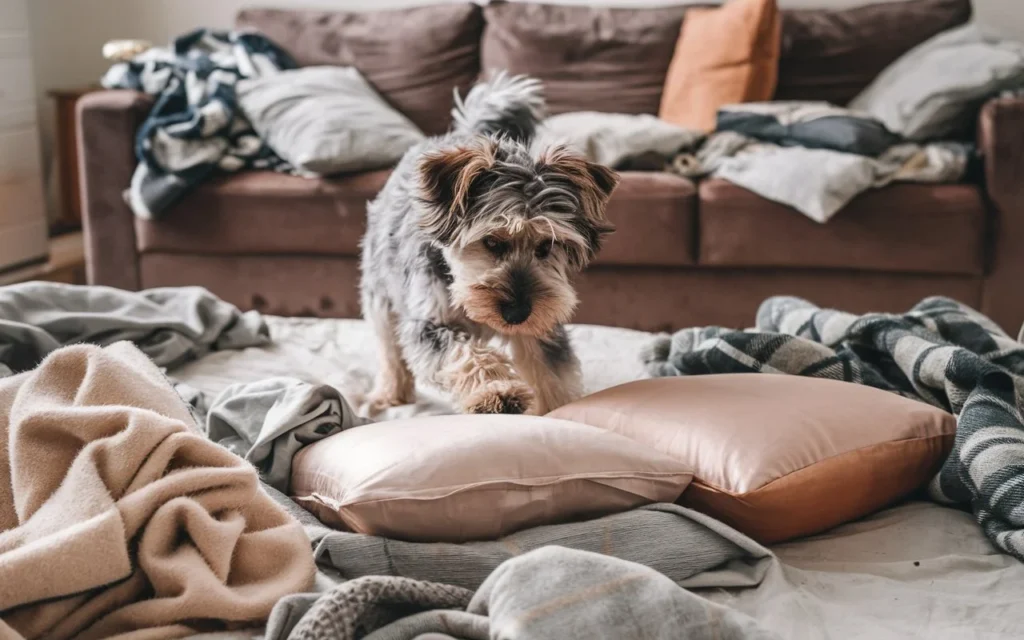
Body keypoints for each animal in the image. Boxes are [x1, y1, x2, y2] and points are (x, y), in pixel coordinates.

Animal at [356, 73, 618, 413]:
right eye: (491, 242)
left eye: (546, 246)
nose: (518, 313)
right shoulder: (429, 325)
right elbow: (465, 353)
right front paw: (496, 392)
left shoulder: (541, 324)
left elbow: (550, 371)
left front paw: (559, 410)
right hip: (380, 289)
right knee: (389, 346)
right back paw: (390, 393)